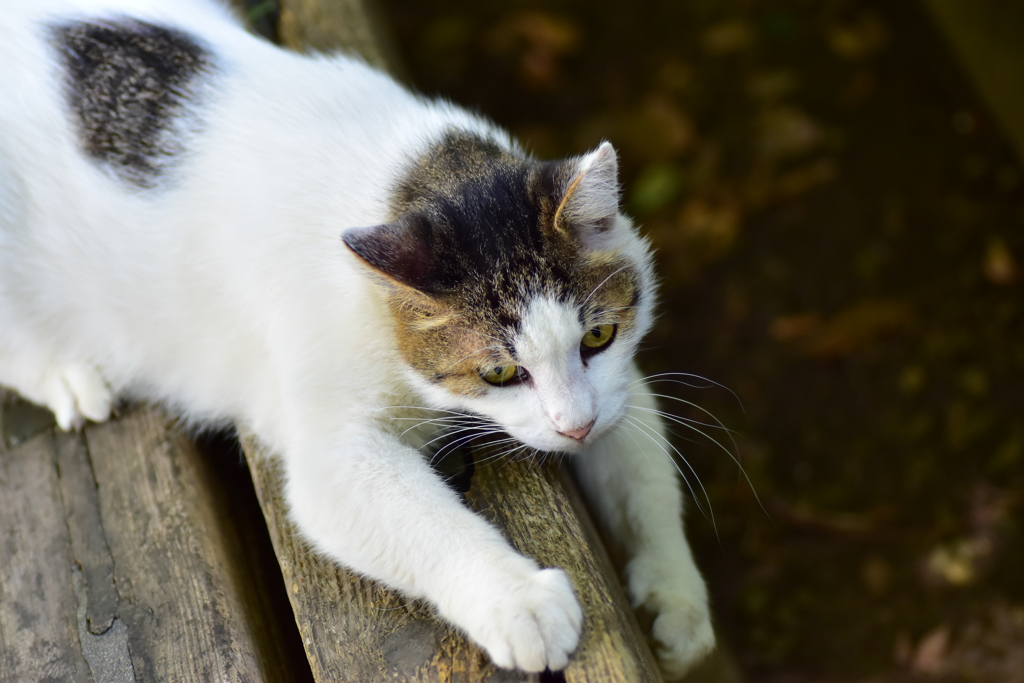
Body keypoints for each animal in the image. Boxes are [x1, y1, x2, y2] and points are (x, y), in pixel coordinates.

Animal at [0, 0, 716, 675]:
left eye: (598, 336)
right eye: (499, 374)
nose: (575, 427)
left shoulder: (615, 388)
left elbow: (641, 472)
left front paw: (677, 598)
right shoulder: (330, 454)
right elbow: (423, 522)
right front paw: (518, 600)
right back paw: (66, 374)